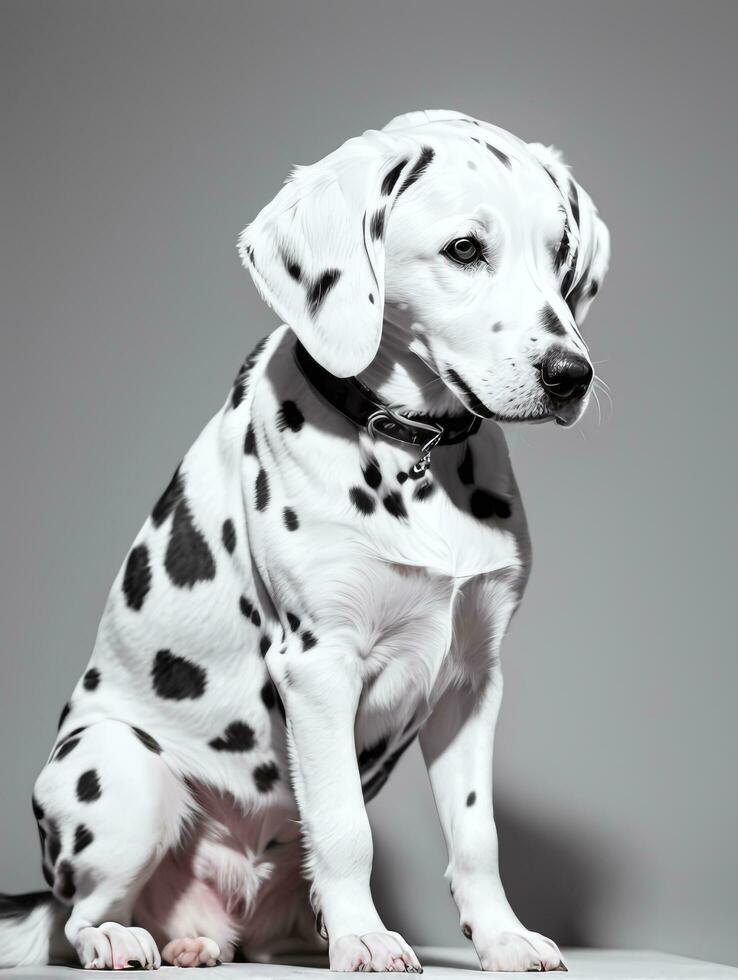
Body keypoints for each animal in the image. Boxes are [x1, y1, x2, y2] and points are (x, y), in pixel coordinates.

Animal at [0, 109, 608, 972]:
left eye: (561, 255)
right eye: (464, 249)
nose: (570, 375)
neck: (413, 451)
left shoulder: (471, 682)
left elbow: (477, 836)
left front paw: (501, 937)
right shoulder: (319, 664)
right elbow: (346, 831)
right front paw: (366, 938)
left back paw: (202, 943)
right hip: (123, 773)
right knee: (79, 915)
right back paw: (119, 936)